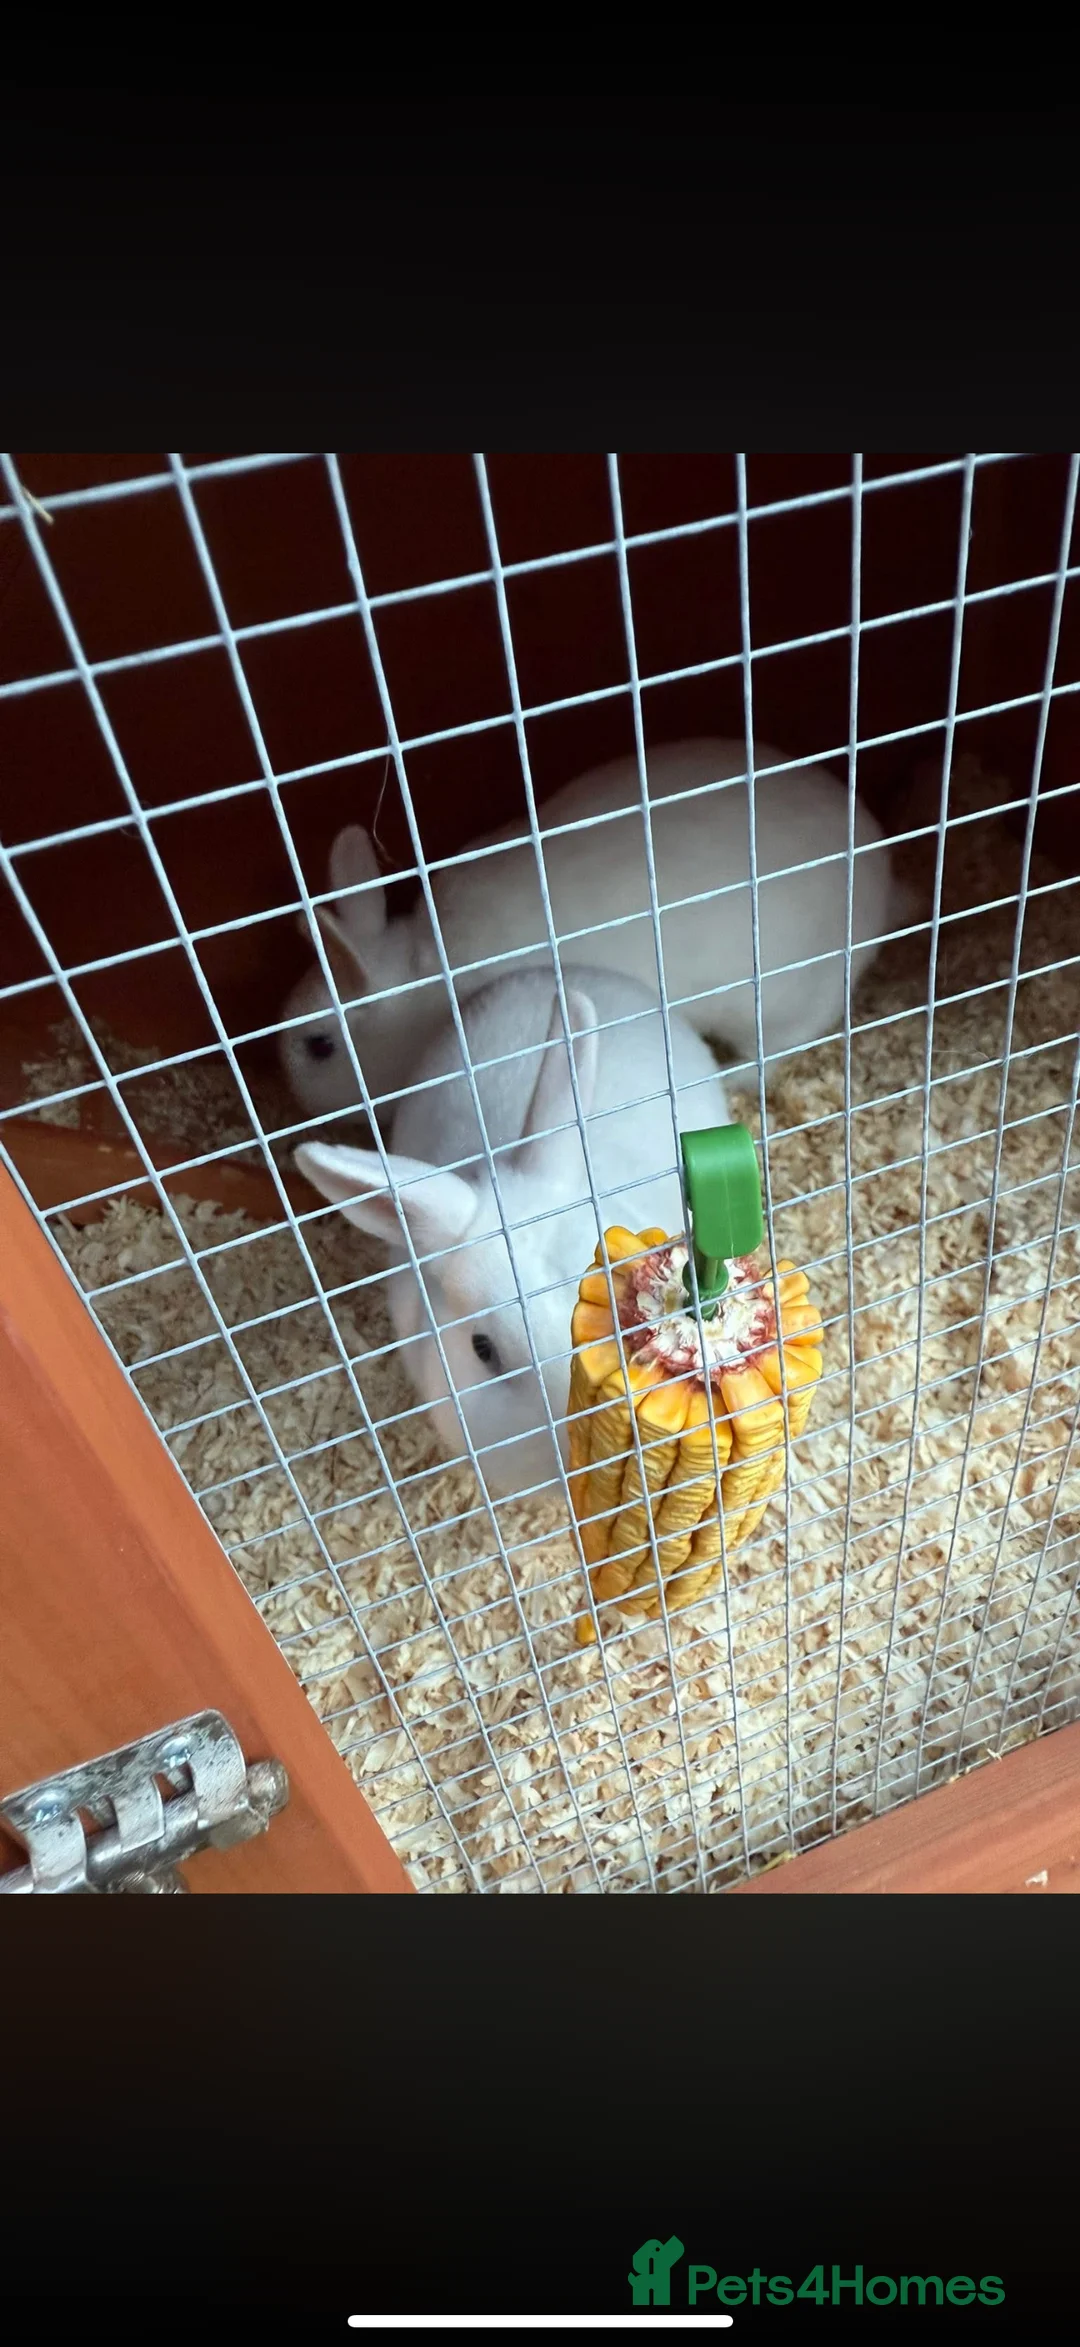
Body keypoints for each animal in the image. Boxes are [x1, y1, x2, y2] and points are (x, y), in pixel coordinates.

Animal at [279, 736, 907, 1122]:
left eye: (319, 1046)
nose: (294, 1097)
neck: (429, 982)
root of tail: (880, 875)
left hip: (780, 1000)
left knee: (775, 1052)